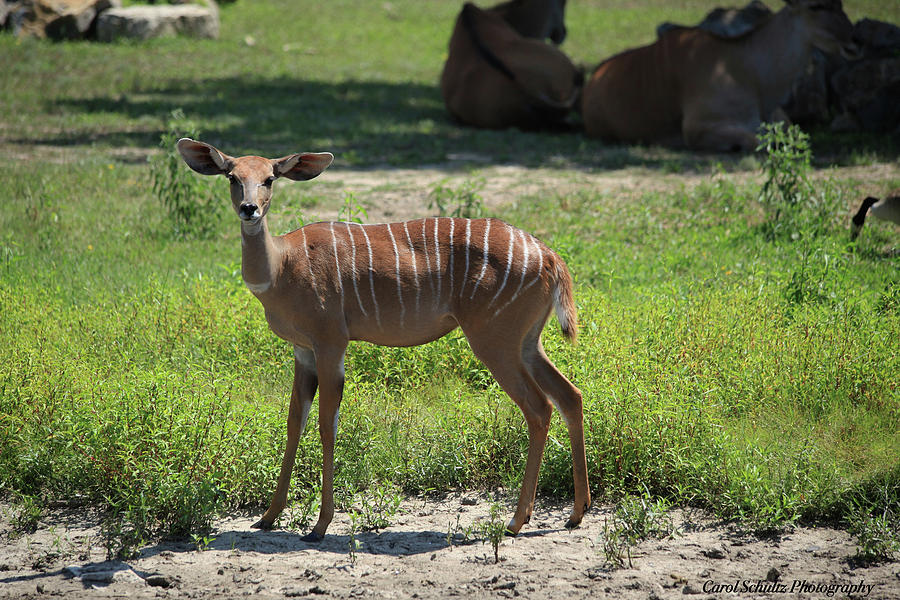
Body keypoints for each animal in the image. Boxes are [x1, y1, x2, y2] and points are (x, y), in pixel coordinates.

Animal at [179, 138, 596, 540]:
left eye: (269, 178)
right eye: (232, 176)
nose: (249, 209)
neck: (281, 266)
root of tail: (552, 258)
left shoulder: (331, 341)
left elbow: (327, 422)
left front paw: (319, 525)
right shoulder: (303, 349)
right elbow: (295, 418)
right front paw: (267, 518)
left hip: (495, 340)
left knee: (539, 407)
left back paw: (516, 521)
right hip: (527, 341)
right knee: (570, 395)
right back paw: (576, 513)